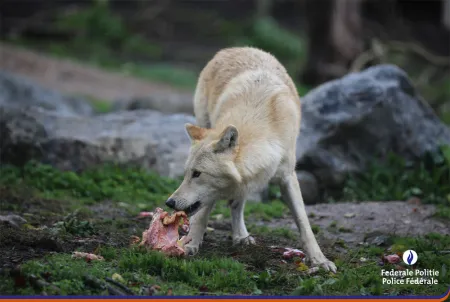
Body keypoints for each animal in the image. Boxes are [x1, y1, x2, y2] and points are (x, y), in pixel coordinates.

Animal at [167, 46, 336, 272]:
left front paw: (319, 260)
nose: (169, 202)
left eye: (197, 174)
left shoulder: (288, 176)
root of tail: (233, 48)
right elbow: (202, 215)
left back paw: (241, 236)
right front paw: (191, 244)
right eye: (187, 173)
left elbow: (303, 223)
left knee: (237, 204)